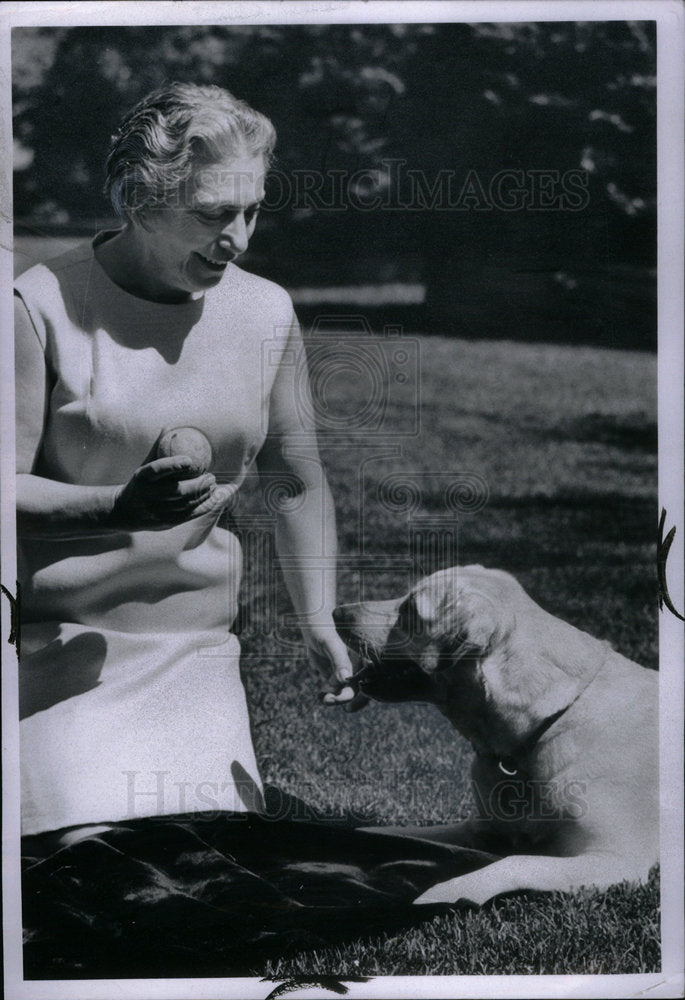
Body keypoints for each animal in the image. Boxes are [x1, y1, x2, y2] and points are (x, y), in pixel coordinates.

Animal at [332, 564, 656, 908]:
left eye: (410, 610)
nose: (336, 612)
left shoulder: (618, 858)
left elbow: (515, 860)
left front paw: (442, 893)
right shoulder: (478, 828)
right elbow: (382, 831)